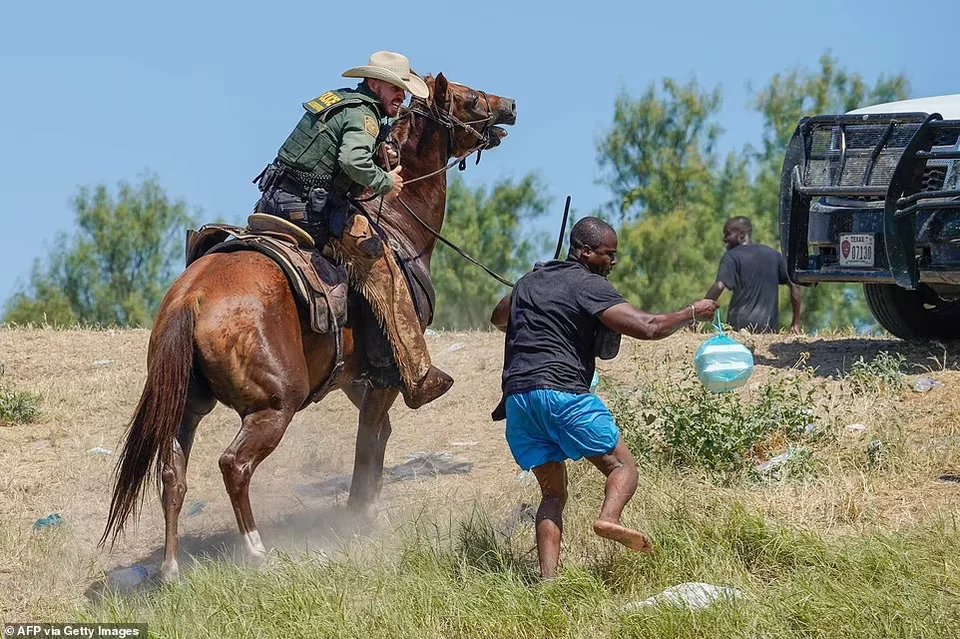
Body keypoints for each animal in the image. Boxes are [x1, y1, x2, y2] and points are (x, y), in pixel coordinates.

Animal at [100, 74, 512, 580]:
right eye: (469, 97)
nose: (511, 106)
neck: (397, 222)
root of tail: (190, 299)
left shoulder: (356, 379)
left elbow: (377, 436)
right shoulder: (386, 378)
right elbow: (368, 442)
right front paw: (362, 516)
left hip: (187, 407)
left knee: (172, 474)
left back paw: (171, 568)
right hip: (275, 406)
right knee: (234, 465)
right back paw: (256, 551)